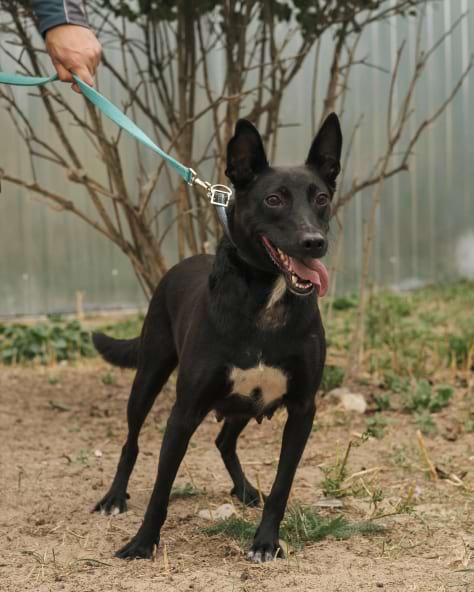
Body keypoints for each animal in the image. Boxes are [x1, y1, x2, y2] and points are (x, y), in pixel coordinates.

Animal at [92, 113, 342, 562]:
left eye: (320, 198)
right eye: (274, 200)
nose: (314, 242)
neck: (265, 302)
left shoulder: (302, 409)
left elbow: (282, 486)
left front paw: (265, 542)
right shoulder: (185, 411)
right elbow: (161, 488)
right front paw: (142, 543)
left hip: (242, 403)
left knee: (224, 439)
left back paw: (244, 490)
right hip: (149, 375)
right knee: (131, 441)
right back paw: (114, 497)